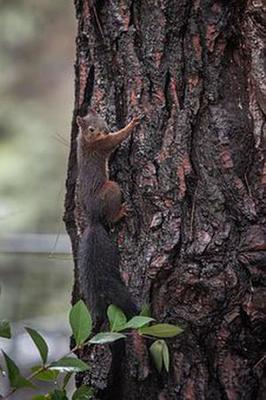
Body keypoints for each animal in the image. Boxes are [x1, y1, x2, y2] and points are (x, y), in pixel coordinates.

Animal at [76, 110, 140, 324]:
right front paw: (132, 124)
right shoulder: (103, 144)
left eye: (102, 120)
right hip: (111, 188)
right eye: (91, 129)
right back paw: (121, 212)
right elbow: (117, 139)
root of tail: (93, 217)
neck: (86, 140)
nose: (105, 130)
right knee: (111, 217)